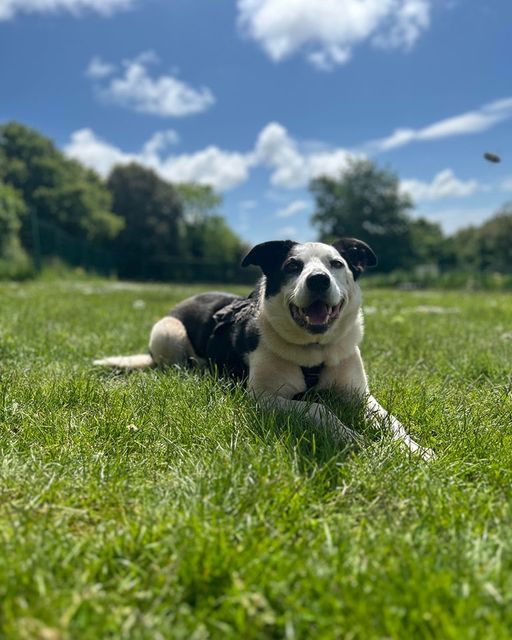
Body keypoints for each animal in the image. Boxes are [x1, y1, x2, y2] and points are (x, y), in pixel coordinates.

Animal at [95, 239, 432, 460]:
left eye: (337, 264)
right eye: (292, 266)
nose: (318, 280)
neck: (315, 349)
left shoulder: (360, 396)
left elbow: (392, 421)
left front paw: (415, 449)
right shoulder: (263, 398)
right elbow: (318, 408)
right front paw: (355, 439)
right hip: (169, 331)